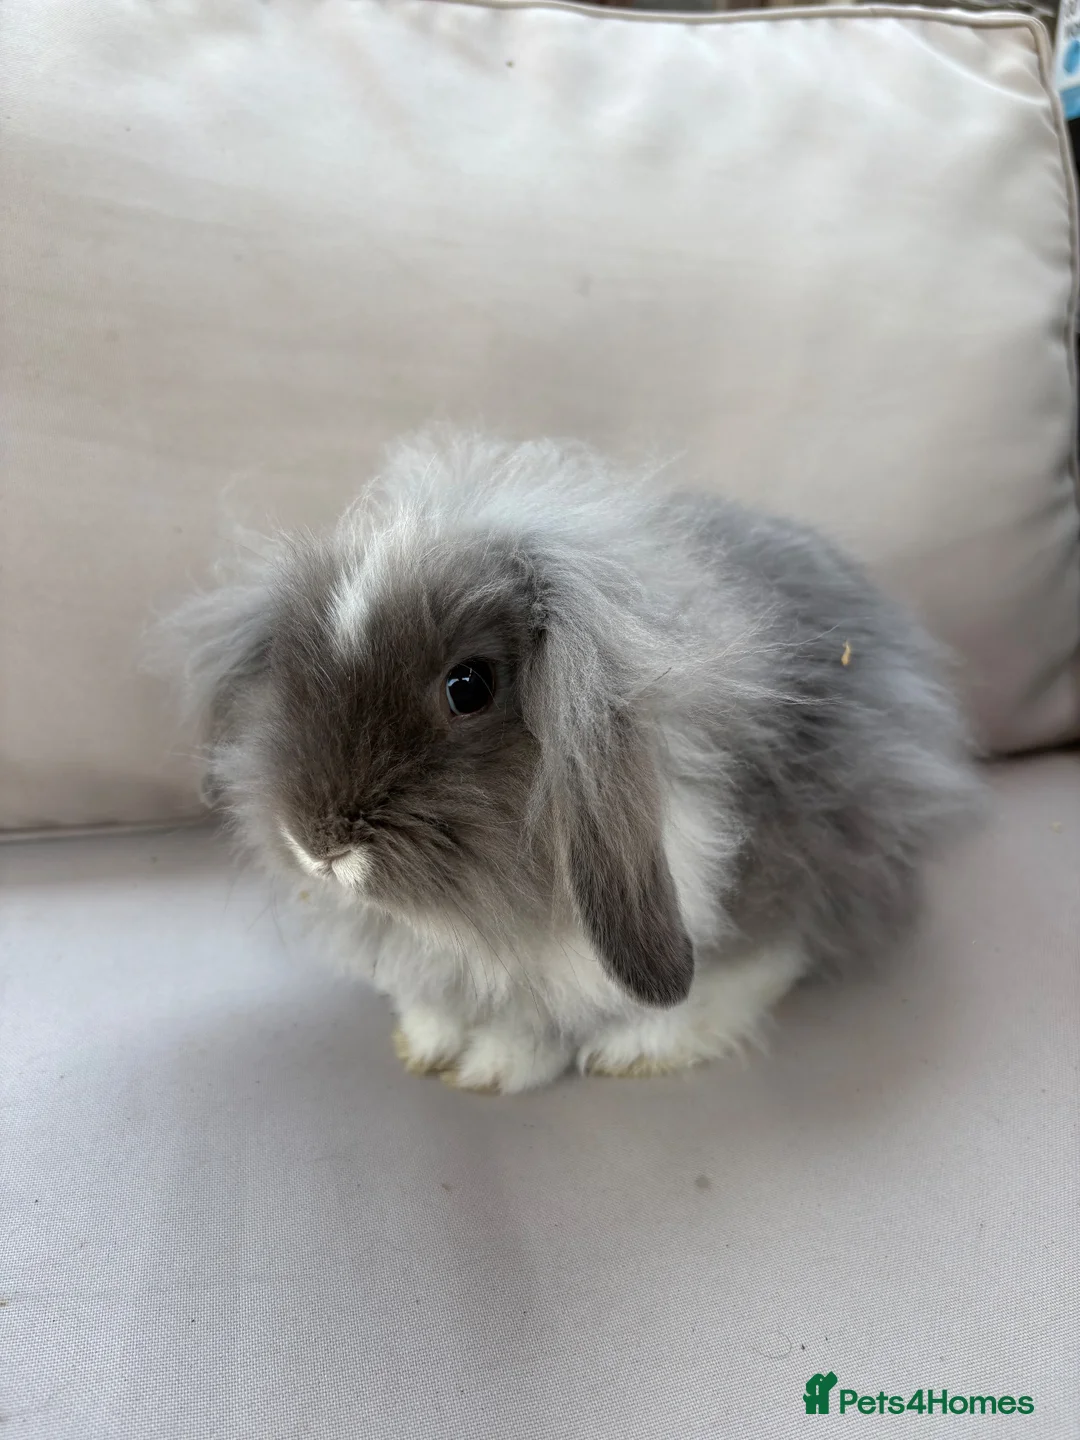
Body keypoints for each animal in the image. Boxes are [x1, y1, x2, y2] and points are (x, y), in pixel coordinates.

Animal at [161, 433, 980, 1094]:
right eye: (291, 675)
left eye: (469, 686)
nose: (318, 845)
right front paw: (438, 1043)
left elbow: (750, 962)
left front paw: (550, 1059)